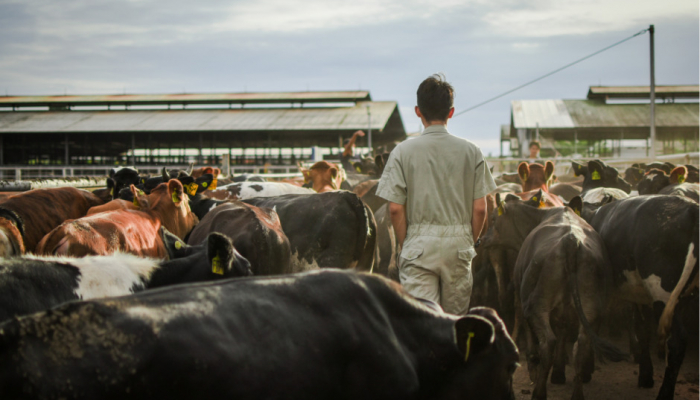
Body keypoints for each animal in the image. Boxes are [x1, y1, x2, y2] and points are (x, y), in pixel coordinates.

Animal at [576, 195, 700, 398]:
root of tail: (693, 209)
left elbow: (593, 325)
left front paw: (586, 371)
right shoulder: (640, 296)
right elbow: (642, 331)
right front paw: (646, 375)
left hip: (662, 292)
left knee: (677, 341)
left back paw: (665, 394)